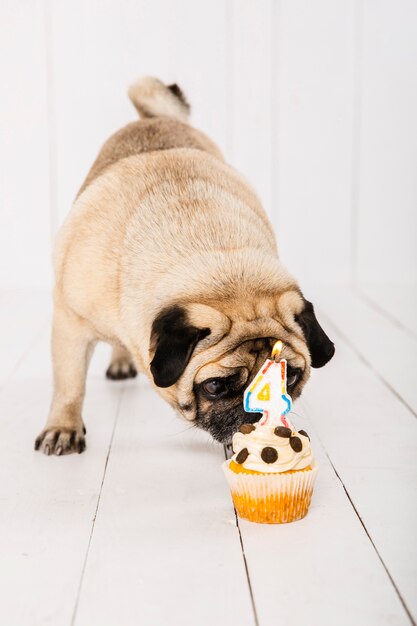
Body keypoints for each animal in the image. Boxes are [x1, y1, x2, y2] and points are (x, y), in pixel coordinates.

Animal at [34, 77, 334, 454]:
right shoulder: (70, 322)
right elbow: (70, 383)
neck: (222, 267)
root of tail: (152, 117)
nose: (260, 414)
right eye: (215, 386)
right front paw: (63, 427)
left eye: (290, 377)